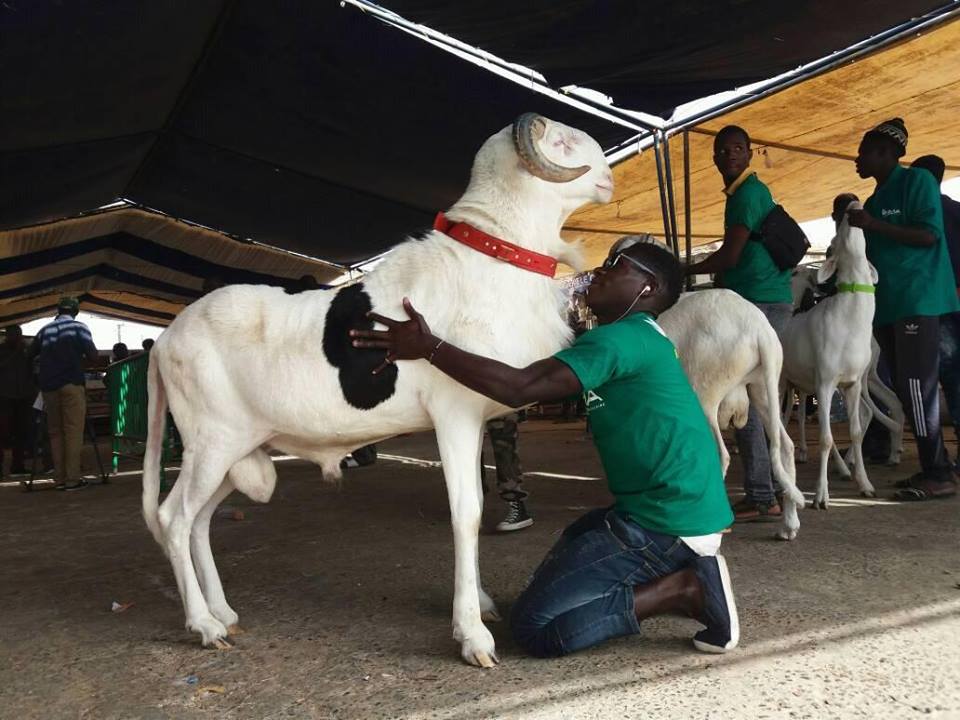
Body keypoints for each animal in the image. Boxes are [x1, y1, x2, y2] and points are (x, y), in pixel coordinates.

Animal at [141, 114, 616, 668]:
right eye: (561, 141)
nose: (608, 179)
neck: (491, 264)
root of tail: (166, 339)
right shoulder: (454, 415)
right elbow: (467, 513)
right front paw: (472, 635)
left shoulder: (475, 419)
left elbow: (474, 503)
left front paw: (479, 605)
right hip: (210, 443)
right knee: (174, 518)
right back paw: (203, 625)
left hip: (234, 450)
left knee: (199, 522)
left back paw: (224, 614)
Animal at [660, 288, 804, 540]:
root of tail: (759, 329)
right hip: (762, 389)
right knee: (786, 446)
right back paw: (789, 526)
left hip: (705, 394)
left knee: (721, 454)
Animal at [780, 200, 884, 510]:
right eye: (835, 241)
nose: (852, 202)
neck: (850, 320)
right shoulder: (825, 382)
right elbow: (825, 439)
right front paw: (821, 496)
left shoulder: (851, 384)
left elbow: (855, 432)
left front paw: (865, 484)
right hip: (782, 381)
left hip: (805, 383)